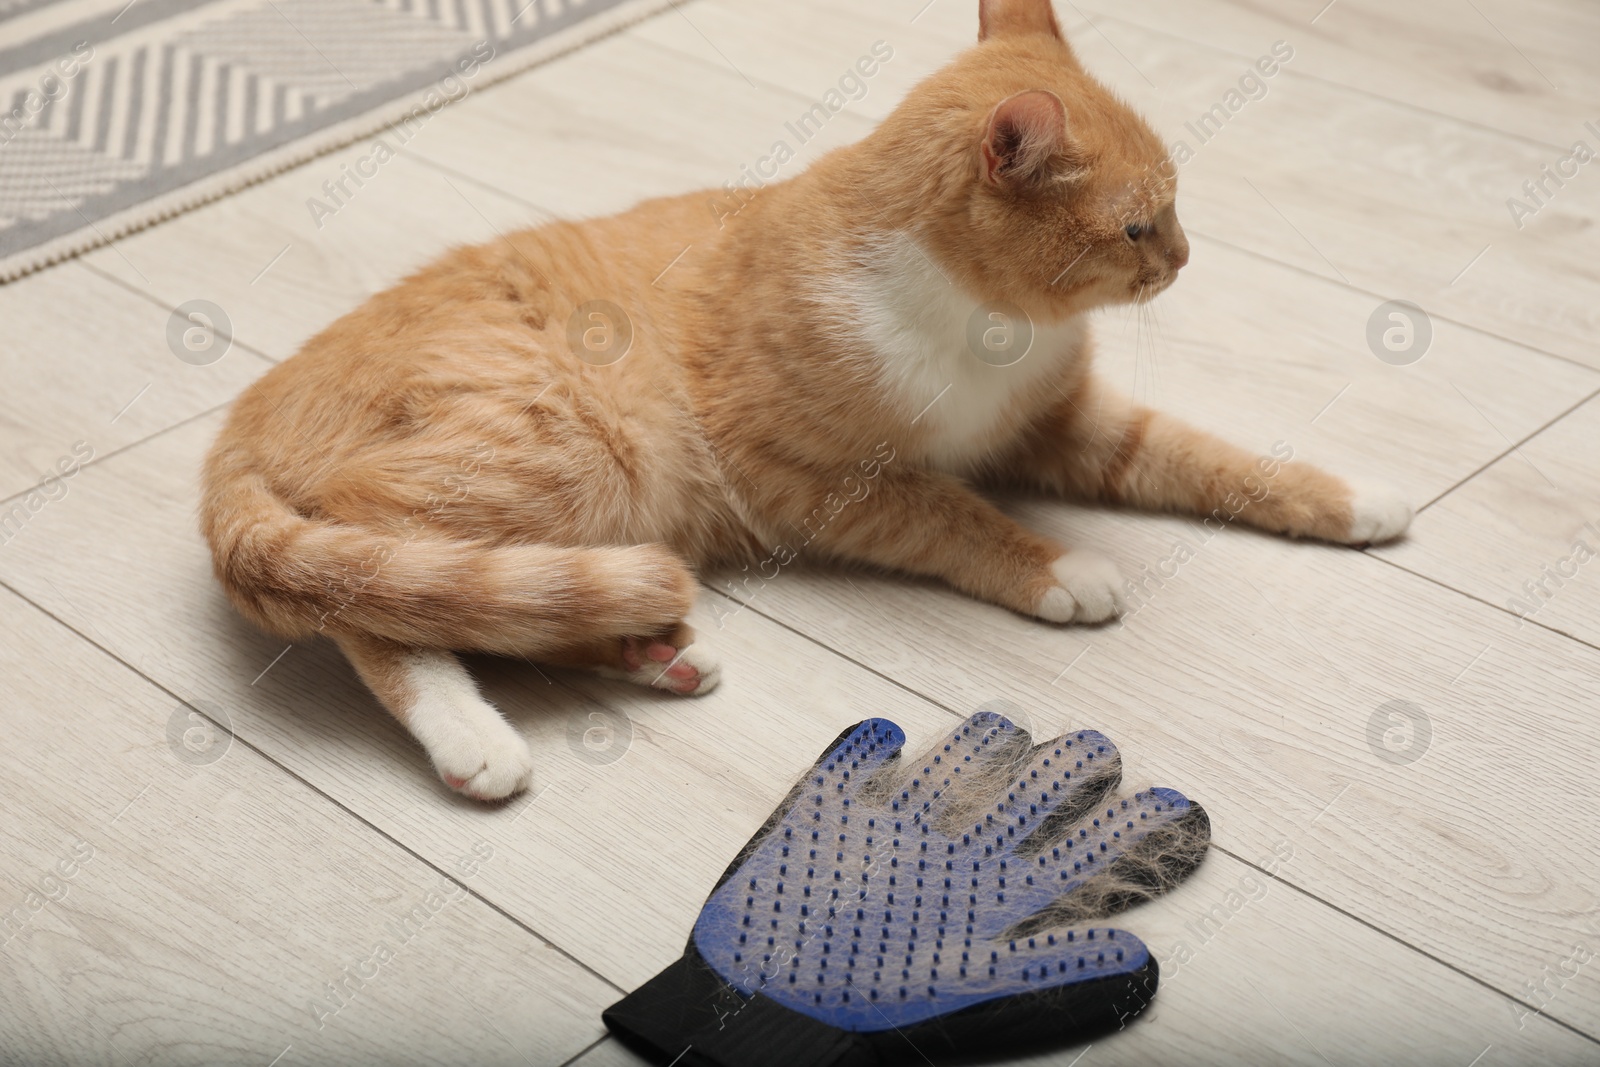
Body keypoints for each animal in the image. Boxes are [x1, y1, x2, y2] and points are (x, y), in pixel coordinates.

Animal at [200, 0, 1414, 799]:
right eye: (1135, 225)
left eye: (1174, 211)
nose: (1185, 259)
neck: (988, 324)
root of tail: (244, 420)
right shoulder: (811, 480)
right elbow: (954, 513)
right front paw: (1059, 566)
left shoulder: (1062, 424)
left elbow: (1214, 458)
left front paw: (1354, 498)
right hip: (572, 451)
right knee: (376, 586)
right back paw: (472, 735)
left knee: (493, 598)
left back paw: (648, 650)